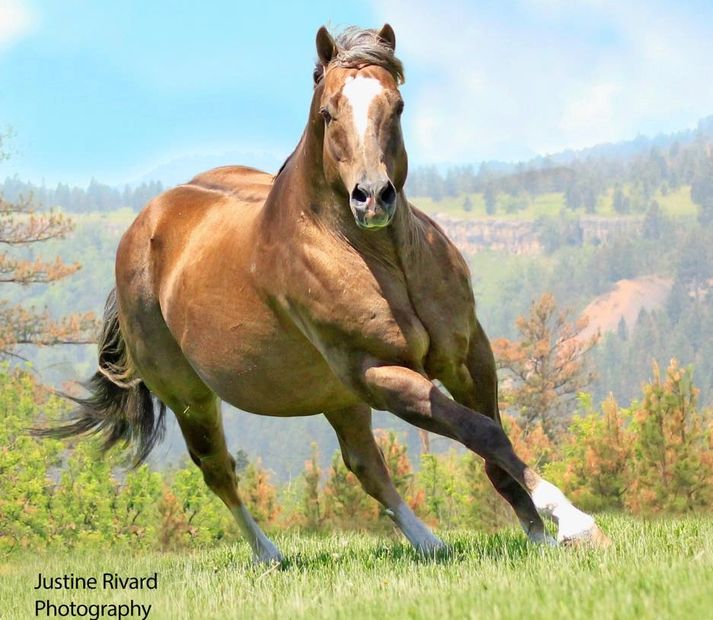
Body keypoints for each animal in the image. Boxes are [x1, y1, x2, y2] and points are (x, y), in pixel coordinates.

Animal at [40, 24, 608, 560]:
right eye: (330, 112)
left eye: (397, 105)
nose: (372, 197)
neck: (380, 258)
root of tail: (144, 229)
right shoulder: (378, 373)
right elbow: (484, 433)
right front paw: (573, 524)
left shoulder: (469, 354)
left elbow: (490, 439)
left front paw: (538, 535)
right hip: (192, 398)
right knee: (219, 471)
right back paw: (271, 555)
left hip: (336, 395)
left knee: (365, 466)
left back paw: (430, 544)